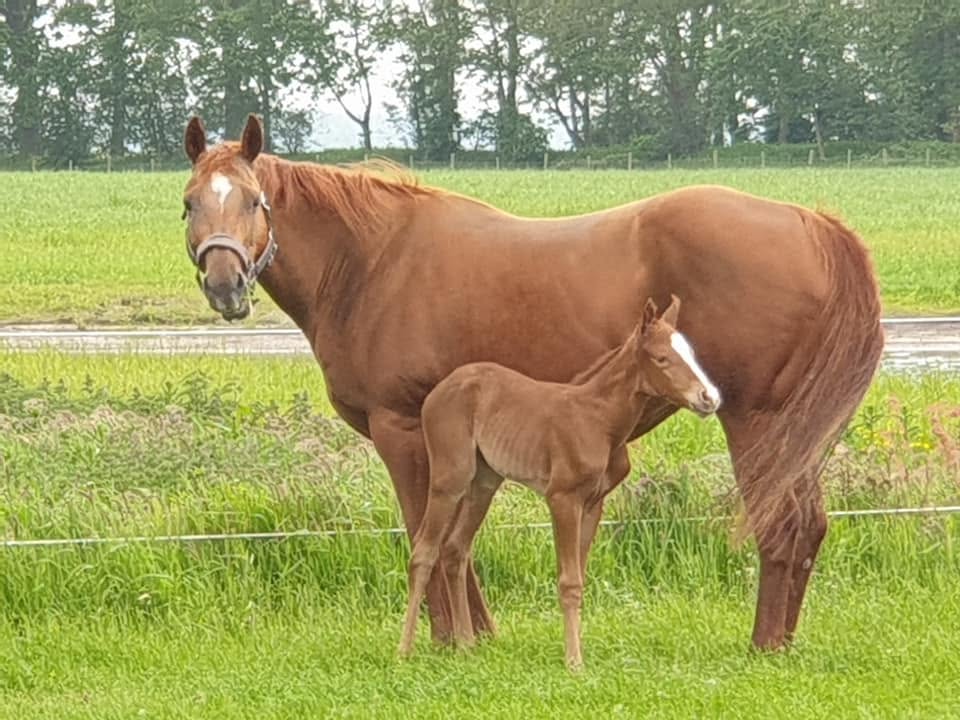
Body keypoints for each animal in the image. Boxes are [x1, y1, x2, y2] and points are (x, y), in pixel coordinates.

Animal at [398, 295, 722, 668]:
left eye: (692, 353)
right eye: (662, 358)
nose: (709, 398)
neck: (599, 421)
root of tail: (437, 392)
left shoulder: (593, 504)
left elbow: (579, 580)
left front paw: (577, 654)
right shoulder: (562, 498)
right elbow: (568, 581)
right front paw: (573, 662)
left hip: (484, 483)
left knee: (454, 549)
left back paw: (466, 646)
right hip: (450, 478)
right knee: (424, 551)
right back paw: (404, 650)